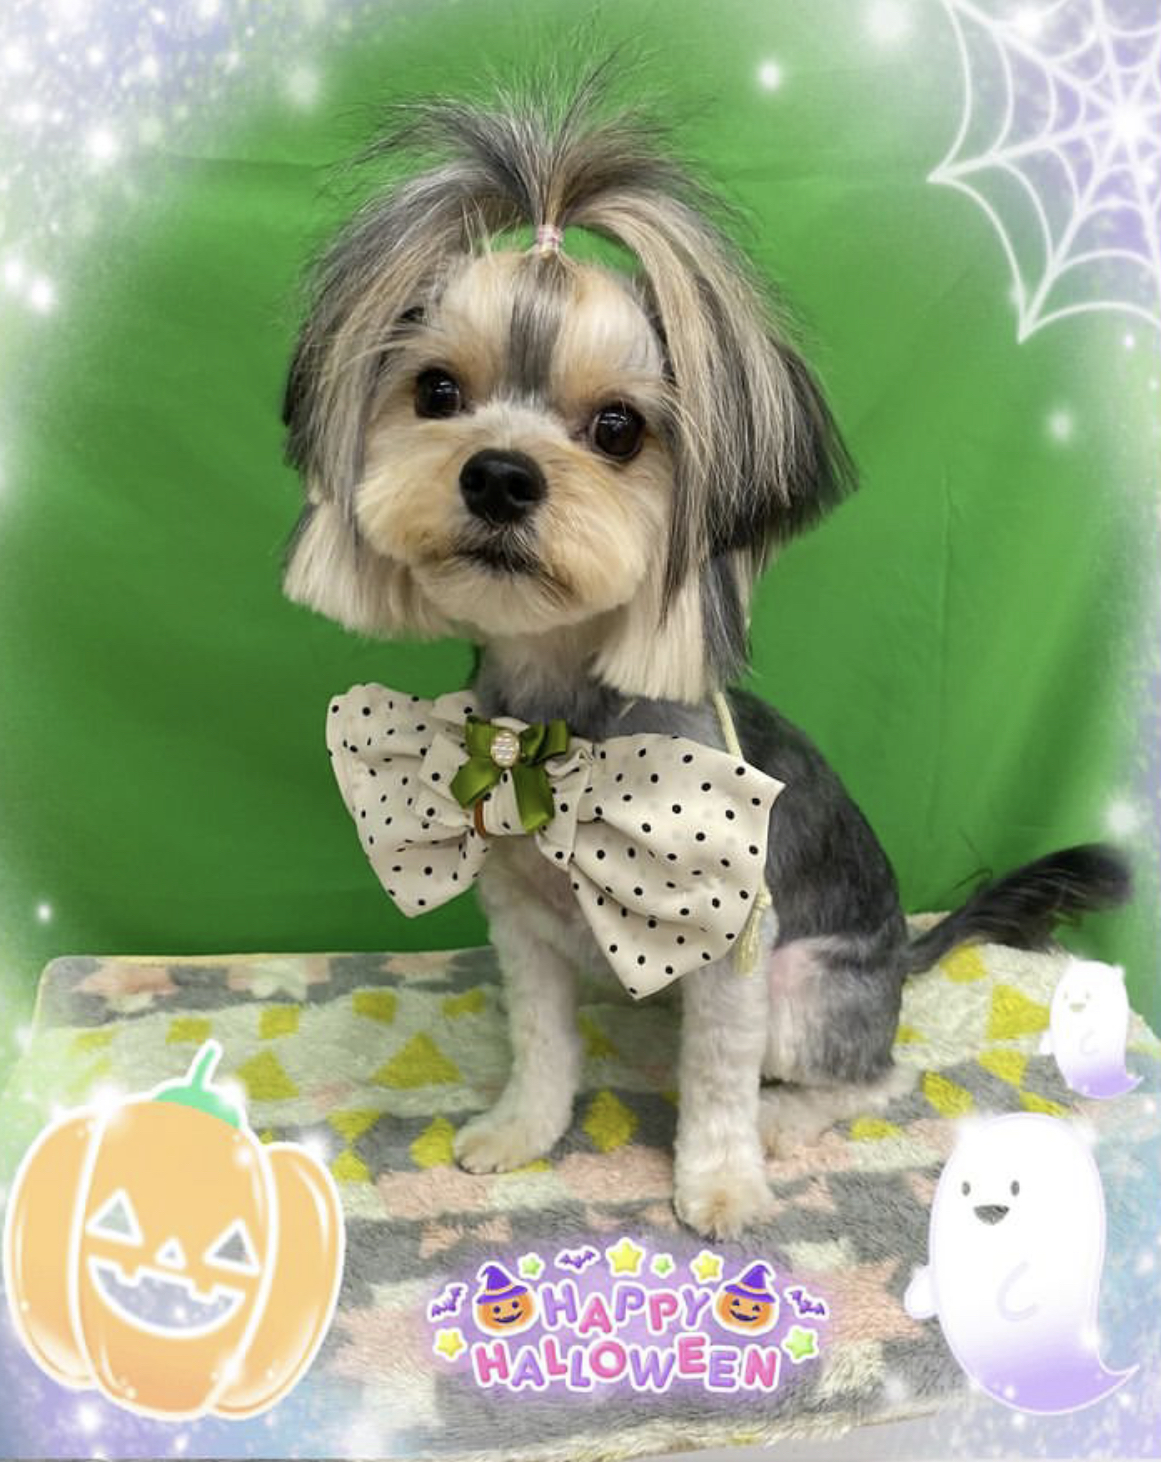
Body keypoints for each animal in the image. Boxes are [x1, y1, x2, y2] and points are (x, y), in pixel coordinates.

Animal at [280, 64, 1129, 1238]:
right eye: (437, 391)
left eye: (619, 428)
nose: (497, 475)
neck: (559, 730)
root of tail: (899, 965)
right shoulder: (524, 926)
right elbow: (541, 1042)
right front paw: (521, 1129)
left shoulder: (735, 948)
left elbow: (721, 1081)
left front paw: (720, 1180)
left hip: (808, 990)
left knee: (871, 1076)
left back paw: (786, 1118)